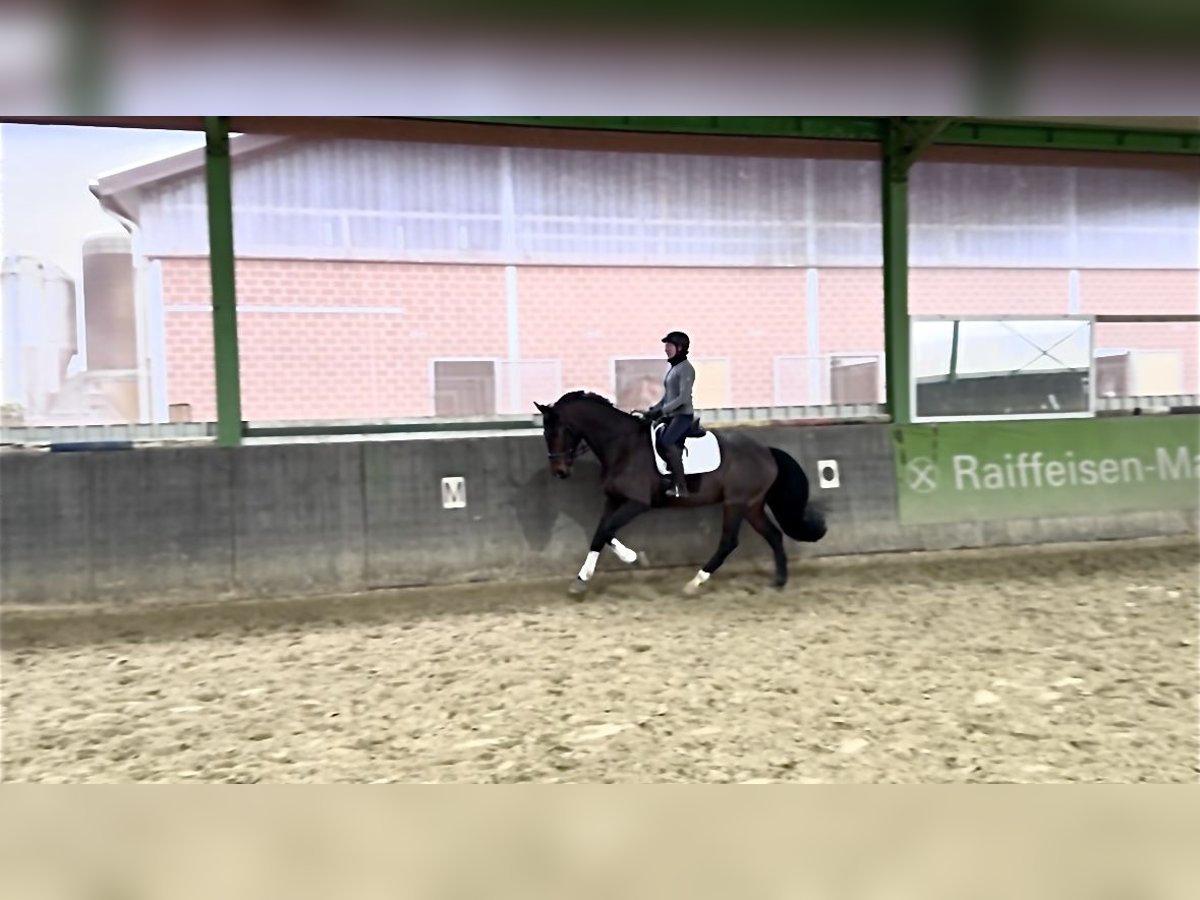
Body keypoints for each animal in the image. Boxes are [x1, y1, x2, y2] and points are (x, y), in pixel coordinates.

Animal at [535, 393, 825, 600]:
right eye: (545, 434)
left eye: (558, 431)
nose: (559, 471)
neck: (622, 445)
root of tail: (766, 451)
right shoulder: (613, 500)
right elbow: (600, 534)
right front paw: (581, 580)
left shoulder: (638, 503)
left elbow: (607, 530)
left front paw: (632, 557)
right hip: (752, 505)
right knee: (774, 536)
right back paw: (779, 581)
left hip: (735, 503)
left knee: (728, 542)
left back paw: (694, 583)